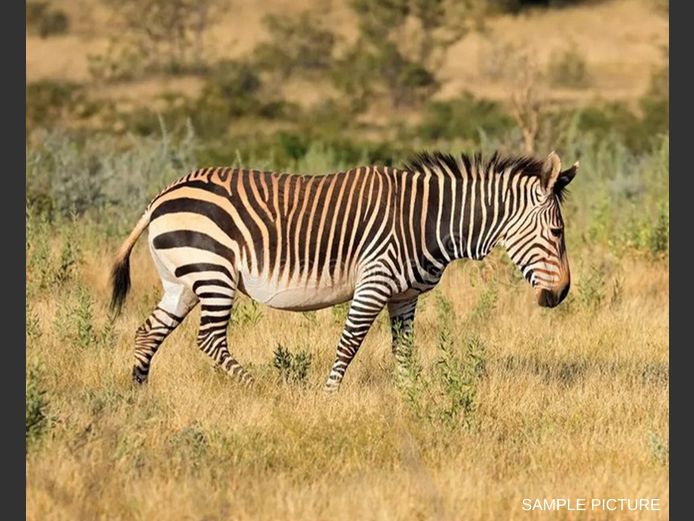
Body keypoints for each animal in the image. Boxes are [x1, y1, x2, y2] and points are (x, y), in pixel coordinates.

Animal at [110, 150, 578, 391]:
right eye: (557, 232)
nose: (561, 295)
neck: (428, 220)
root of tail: (161, 195)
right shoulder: (375, 281)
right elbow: (349, 345)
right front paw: (329, 397)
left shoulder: (403, 296)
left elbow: (403, 349)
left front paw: (410, 398)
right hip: (212, 271)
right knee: (209, 339)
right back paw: (262, 388)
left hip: (183, 281)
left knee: (148, 331)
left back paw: (139, 393)